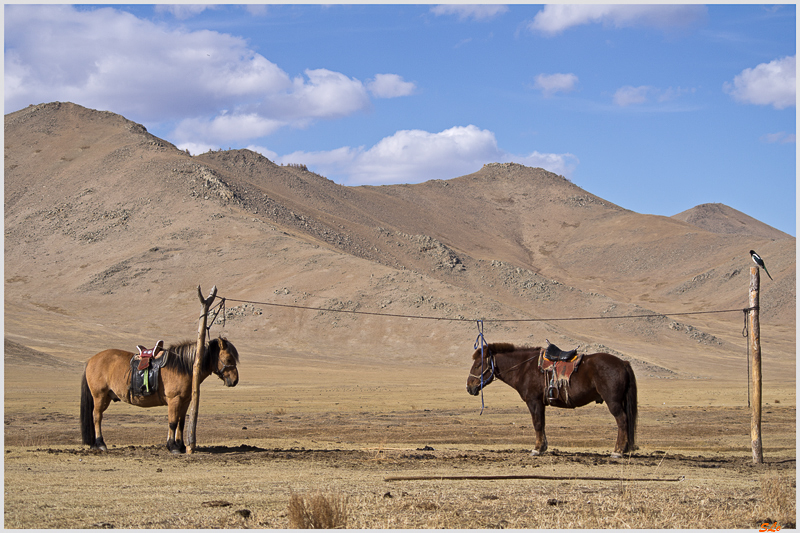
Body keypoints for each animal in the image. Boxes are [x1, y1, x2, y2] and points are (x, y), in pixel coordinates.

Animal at [79, 336, 239, 454]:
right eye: (229, 359)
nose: (235, 380)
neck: (184, 367)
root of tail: (91, 360)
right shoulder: (174, 399)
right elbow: (172, 422)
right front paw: (172, 447)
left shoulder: (185, 401)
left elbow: (181, 423)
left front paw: (181, 446)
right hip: (100, 396)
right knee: (97, 417)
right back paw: (100, 443)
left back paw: (94, 444)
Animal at [466, 344, 636, 458]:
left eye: (478, 365)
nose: (469, 387)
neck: (524, 367)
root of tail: (623, 363)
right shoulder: (541, 403)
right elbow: (542, 423)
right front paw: (543, 447)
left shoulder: (533, 401)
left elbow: (537, 423)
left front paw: (536, 449)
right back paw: (624, 449)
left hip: (613, 402)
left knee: (622, 420)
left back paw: (618, 451)